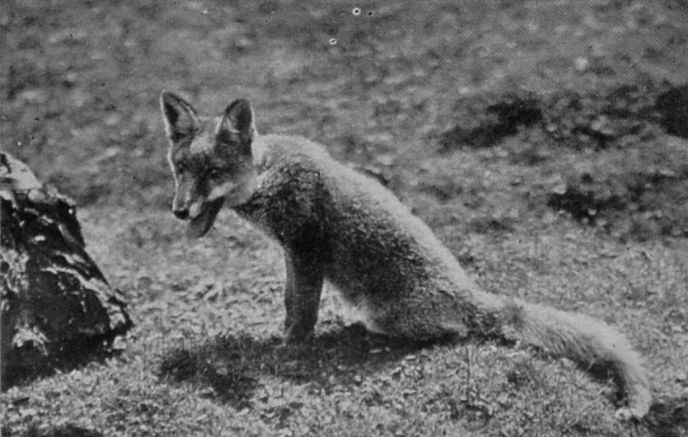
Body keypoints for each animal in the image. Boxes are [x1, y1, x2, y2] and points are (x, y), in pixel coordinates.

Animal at [159, 91, 652, 420]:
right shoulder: (291, 254)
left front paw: (289, 348)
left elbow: (303, 313)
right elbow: (288, 303)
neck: (268, 175)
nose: (178, 211)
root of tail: (470, 294)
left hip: (394, 314)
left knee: (454, 332)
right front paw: (279, 335)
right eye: (180, 169)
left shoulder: (306, 250)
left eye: (214, 172)